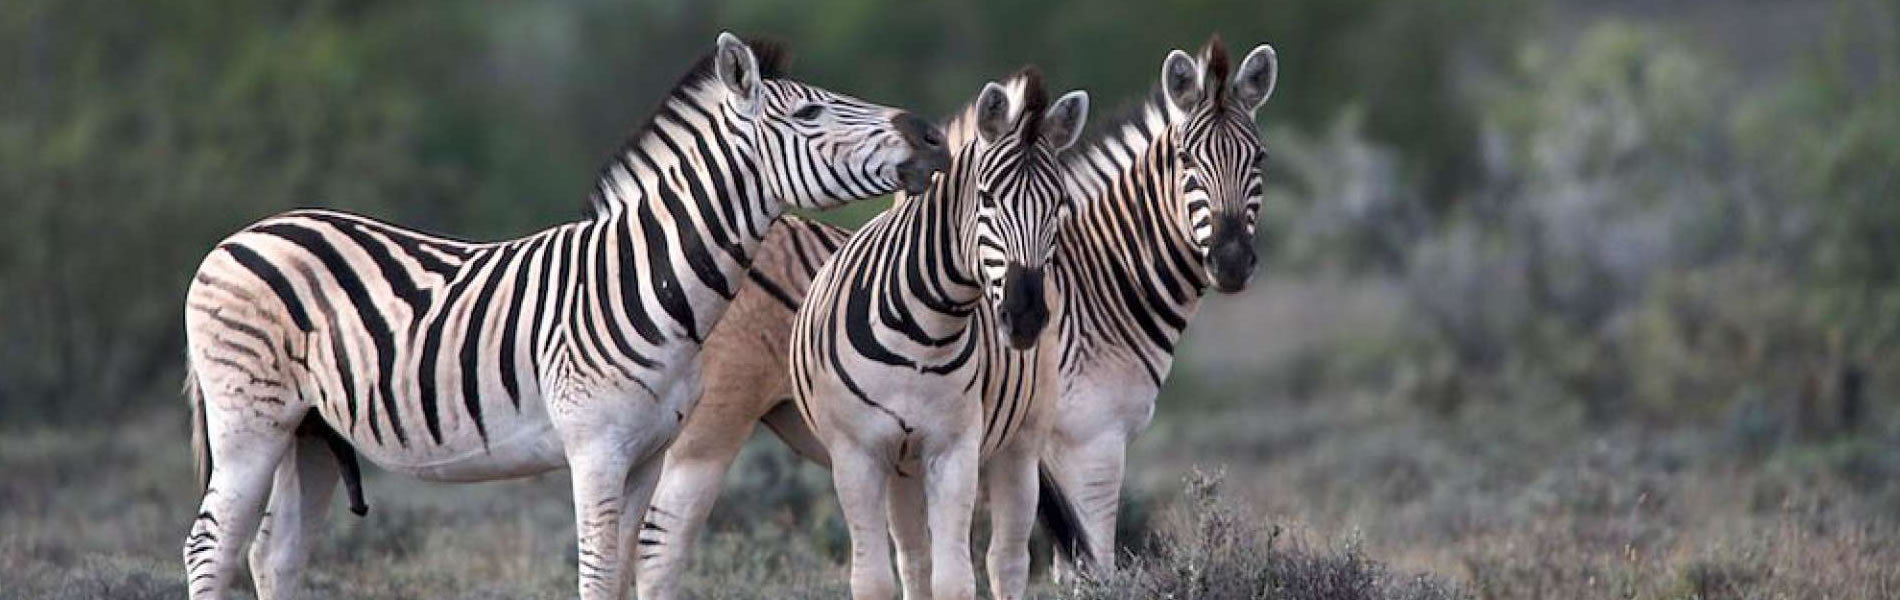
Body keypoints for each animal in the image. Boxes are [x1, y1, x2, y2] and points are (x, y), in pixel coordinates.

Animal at [179, 33, 950, 600]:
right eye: (811, 115)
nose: (933, 136)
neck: (647, 280)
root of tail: (239, 236)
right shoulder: (595, 449)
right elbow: (599, 574)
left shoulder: (648, 453)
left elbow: (626, 569)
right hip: (248, 423)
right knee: (209, 548)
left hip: (308, 432)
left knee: (272, 555)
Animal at [790, 69, 1094, 600]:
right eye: (988, 198)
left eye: (1059, 205)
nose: (1025, 316)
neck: (921, 335)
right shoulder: (858, 455)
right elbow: (875, 580)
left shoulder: (953, 450)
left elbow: (955, 579)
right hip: (901, 467)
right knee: (913, 558)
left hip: (1020, 443)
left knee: (1006, 560)